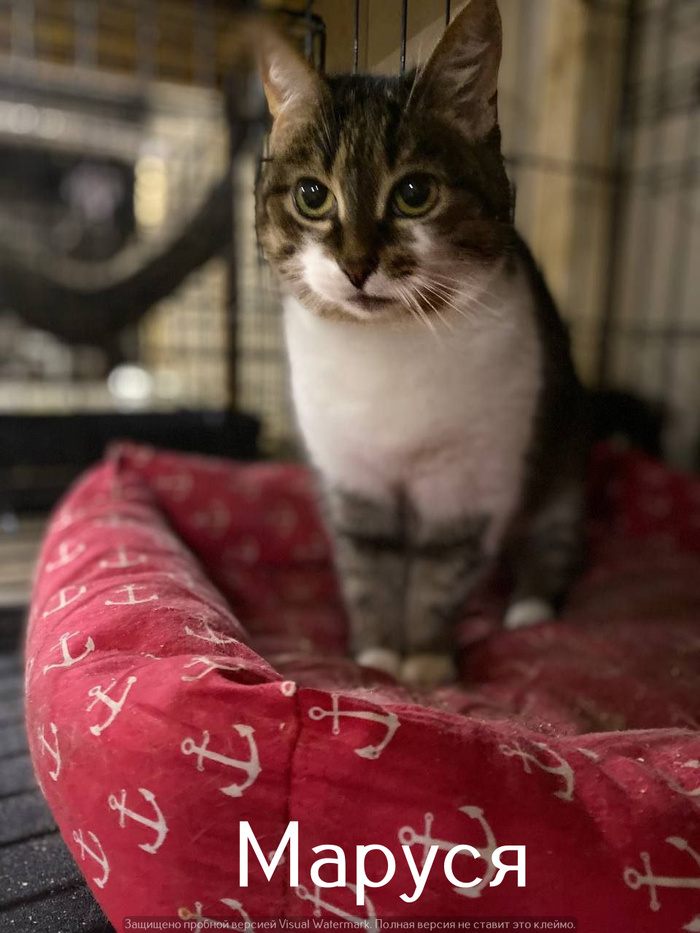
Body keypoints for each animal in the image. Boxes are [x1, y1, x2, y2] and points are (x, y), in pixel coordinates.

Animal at [254, 0, 589, 687]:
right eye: (311, 195)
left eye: (414, 194)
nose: (357, 265)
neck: (386, 350)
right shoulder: (352, 479)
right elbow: (369, 567)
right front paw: (379, 654)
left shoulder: (471, 481)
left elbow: (440, 573)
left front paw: (426, 662)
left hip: (564, 462)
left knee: (554, 540)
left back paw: (529, 608)